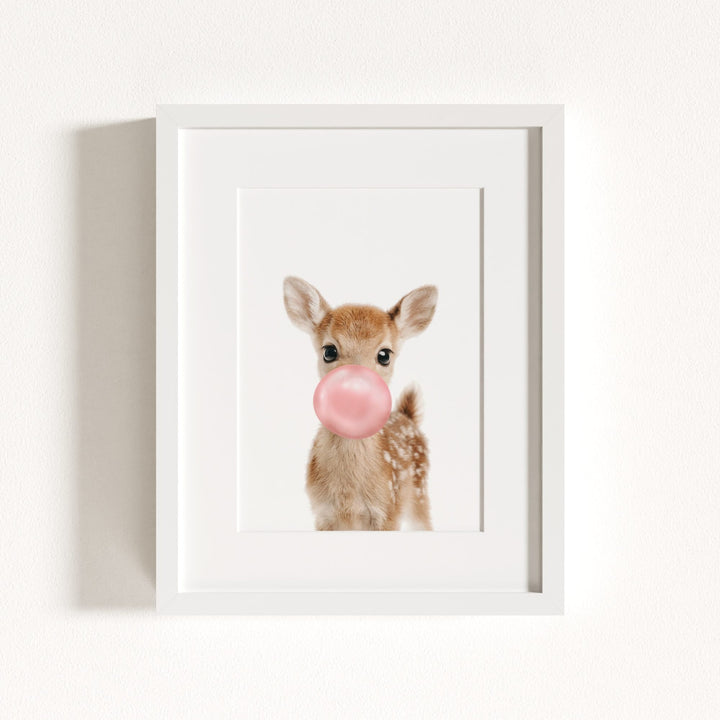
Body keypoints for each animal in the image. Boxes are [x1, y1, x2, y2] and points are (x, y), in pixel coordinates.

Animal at [283, 276, 438, 531]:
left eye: (384, 355)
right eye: (329, 351)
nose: (355, 389)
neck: (348, 496)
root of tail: (408, 416)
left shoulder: (388, 512)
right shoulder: (322, 514)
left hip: (419, 493)